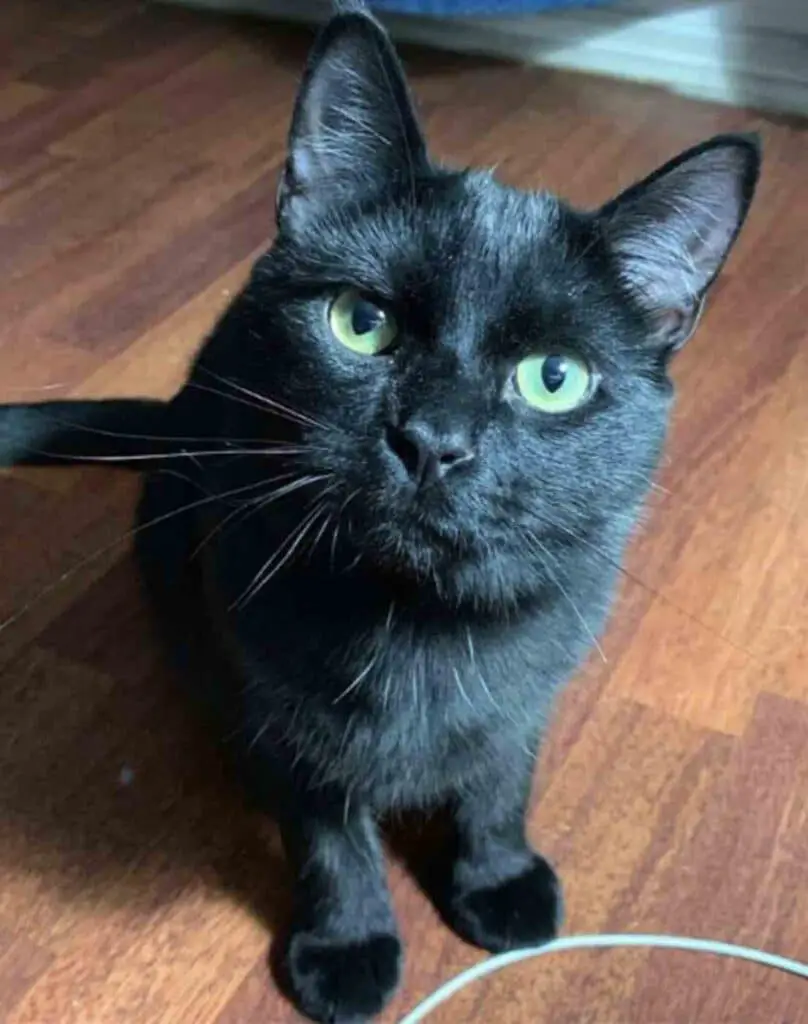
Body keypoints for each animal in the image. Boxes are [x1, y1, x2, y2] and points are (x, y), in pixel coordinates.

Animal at [0, 4, 757, 1019]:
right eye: (362, 324)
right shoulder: (283, 710)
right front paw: (349, 944)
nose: (433, 440)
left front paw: (497, 879)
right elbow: (329, 837)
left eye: (553, 379)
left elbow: (499, 780)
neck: (416, 623)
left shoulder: (527, 688)